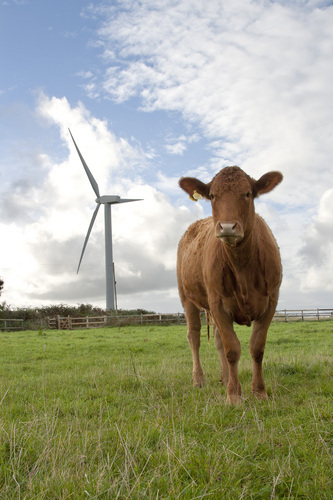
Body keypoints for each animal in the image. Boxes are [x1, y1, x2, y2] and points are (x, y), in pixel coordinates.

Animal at [175, 166, 282, 404]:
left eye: (248, 194)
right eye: (213, 196)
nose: (227, 227)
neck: (243, 267)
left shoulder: (271, 302)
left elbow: (257, 348)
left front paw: (259, 392)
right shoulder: (217, 303)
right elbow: (232, 349)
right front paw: (233, 396)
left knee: (216, 339)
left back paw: (224, 378)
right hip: (187, 298)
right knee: (194, 336)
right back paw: (199, 380)